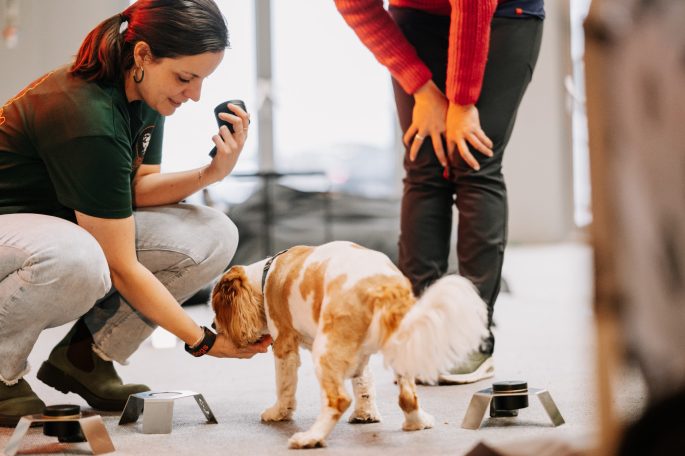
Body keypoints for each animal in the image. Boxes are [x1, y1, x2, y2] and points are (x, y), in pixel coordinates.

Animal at [211, 241, 488, 449]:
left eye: (216, 310)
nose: (213, 326)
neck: (265, 275)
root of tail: (382, 286)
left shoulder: (283, 343)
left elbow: (284, 386)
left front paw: (278, 412)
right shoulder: (358, 354)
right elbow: (364, 384)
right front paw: (366, 415)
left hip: (325, 352)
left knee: (338, 400)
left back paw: (310, 438)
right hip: (397, 349)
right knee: (408, 396)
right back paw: (417, 422)